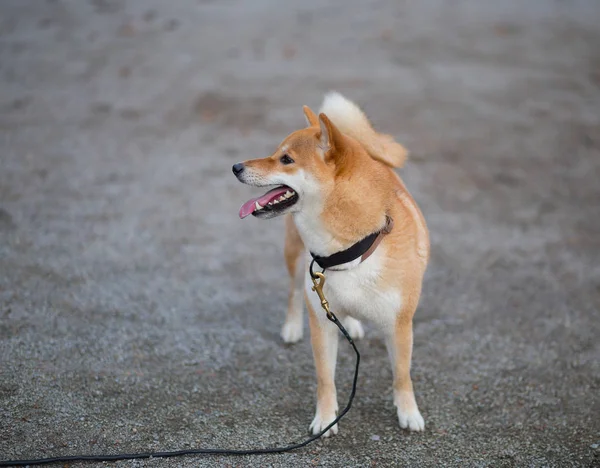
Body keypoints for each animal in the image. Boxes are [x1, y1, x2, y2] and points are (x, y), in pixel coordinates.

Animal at [232, 93, 428, 436]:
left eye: (286, 159)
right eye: (275, 153)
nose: (236, 167)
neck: (351, 252)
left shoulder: (400, 324)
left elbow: (402, 375)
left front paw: (408, 413)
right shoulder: (321, 324)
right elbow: (325, 380)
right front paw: (324, 419)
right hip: (296, 259)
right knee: (293, 293)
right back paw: (292, 327)